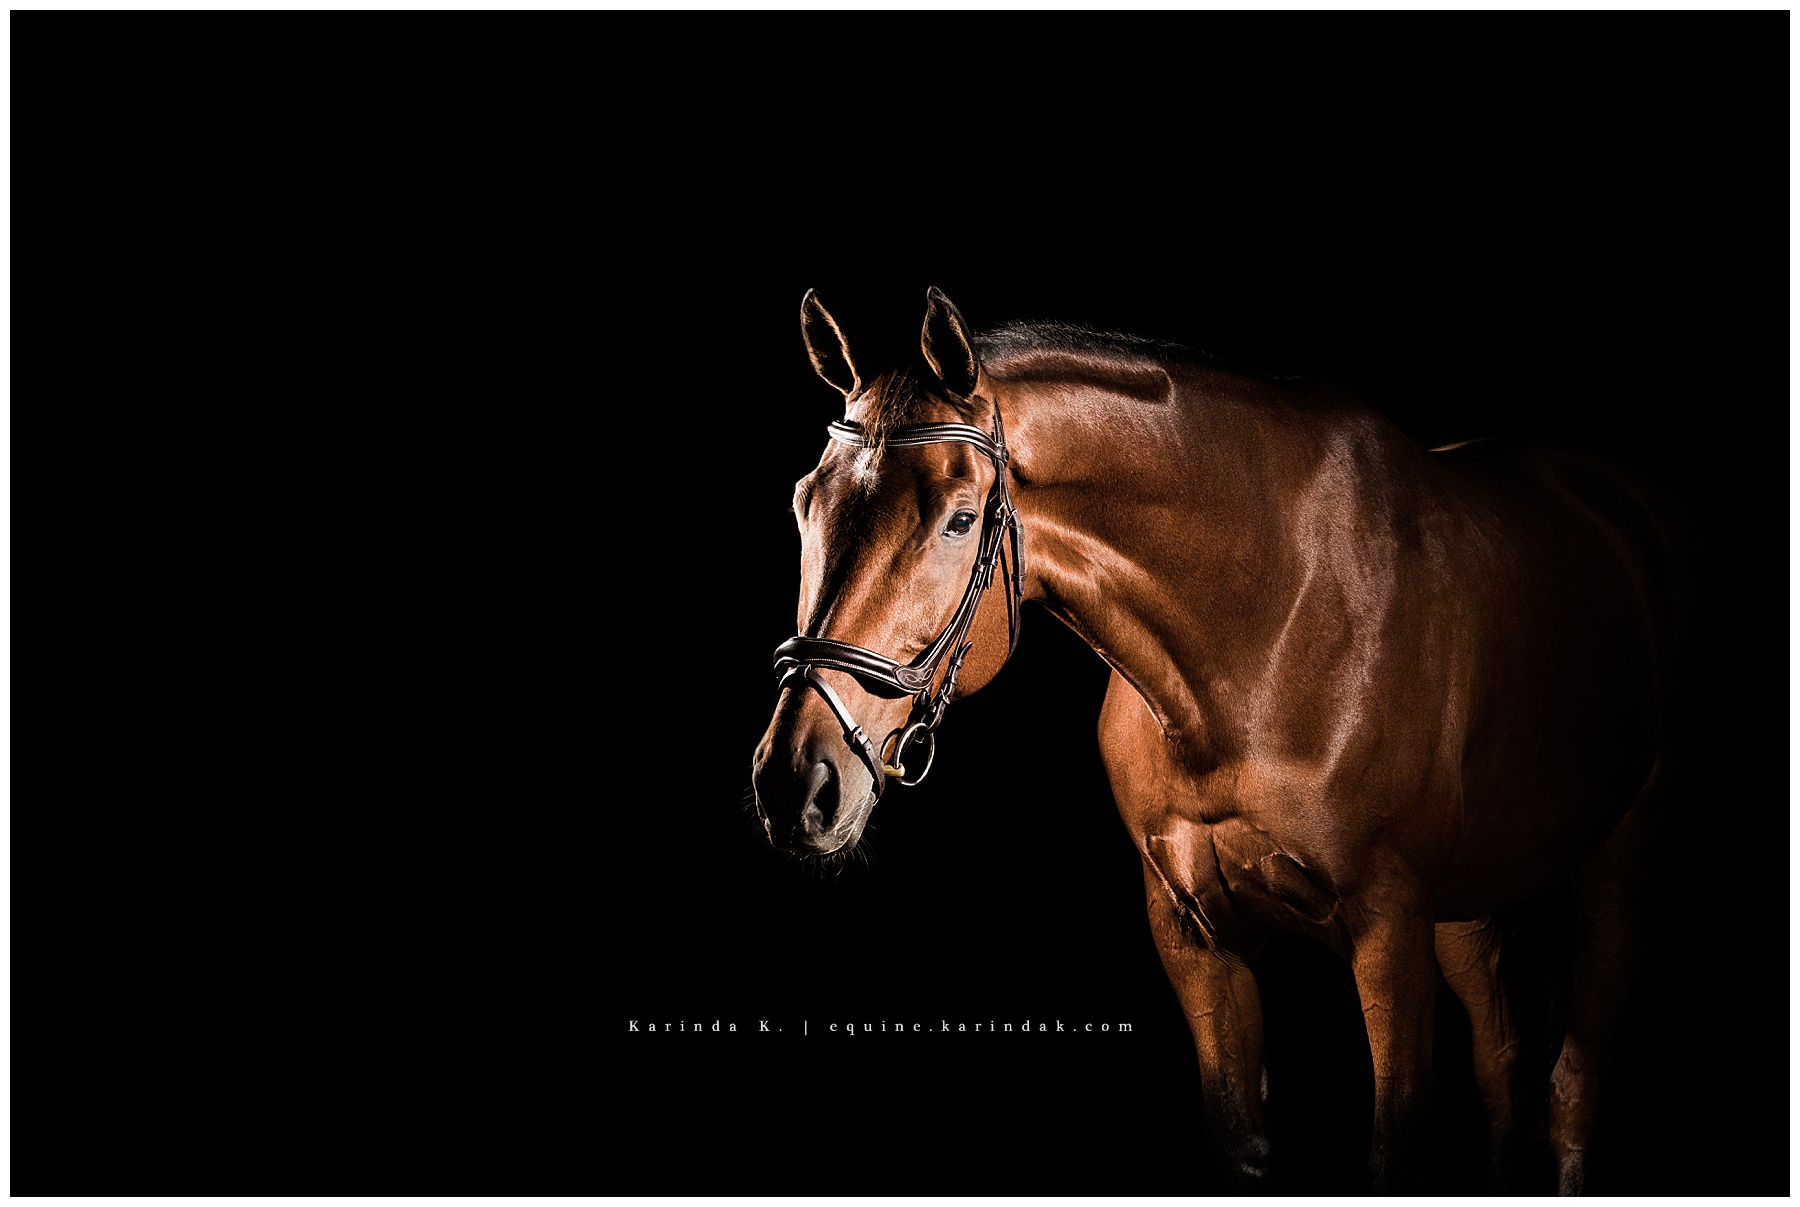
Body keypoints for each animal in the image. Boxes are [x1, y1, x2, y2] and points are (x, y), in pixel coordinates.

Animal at [749, 287, 1703, 1193]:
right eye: (804, 502)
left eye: (955, 518)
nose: (796, 782)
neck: (1261, 621)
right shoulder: (1196, 939)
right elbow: (1241, 1149)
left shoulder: (1389, 933)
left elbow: (1400, 1156)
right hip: (1470, 904)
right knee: (1506, 1067)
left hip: (1624, 863)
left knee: (1571, 1090)